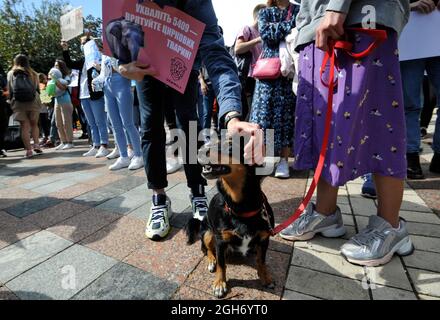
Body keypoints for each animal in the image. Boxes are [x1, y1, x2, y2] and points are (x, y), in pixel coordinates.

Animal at [186, 139, 276, 298]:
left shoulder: (264, 238)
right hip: (208, 233)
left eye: (229, 145)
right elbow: (222, 265)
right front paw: (220, 284)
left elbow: (262, 261)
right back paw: (211, 261)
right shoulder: (221, 241)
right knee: (206, 249)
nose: (198, 149)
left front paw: (265, 277)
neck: (240, 208)